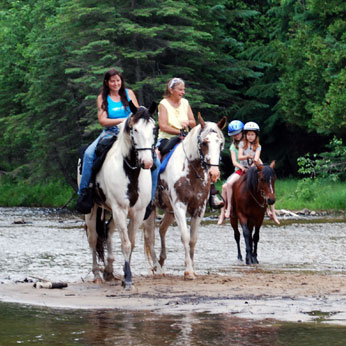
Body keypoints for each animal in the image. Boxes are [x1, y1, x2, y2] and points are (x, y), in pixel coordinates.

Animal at [77, 102, 156, 290]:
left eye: (154, 129)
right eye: (134, 129)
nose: (147, 162)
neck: (130, 172)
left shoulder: (138, 212)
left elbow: (131, 243)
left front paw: (125, 275)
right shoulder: (120, 209)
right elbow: (125, 244)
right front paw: (127, 280)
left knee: (108, 230)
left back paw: (109, 271)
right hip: (93, 210)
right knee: (93, 238)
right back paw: (97, 275)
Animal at [143, 115, 227, 280]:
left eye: (220, 143)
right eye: (204, 142)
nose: (214, 173)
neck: (191, 171)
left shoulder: (199, 209)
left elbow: (193, 240)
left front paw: (192, 268)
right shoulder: (180, 206)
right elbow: (185, 237)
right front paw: (188, 271)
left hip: (169, 212)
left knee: (161, 229)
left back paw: (161, 261)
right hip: (150, 209)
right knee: (150, 237)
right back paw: (157, 268)